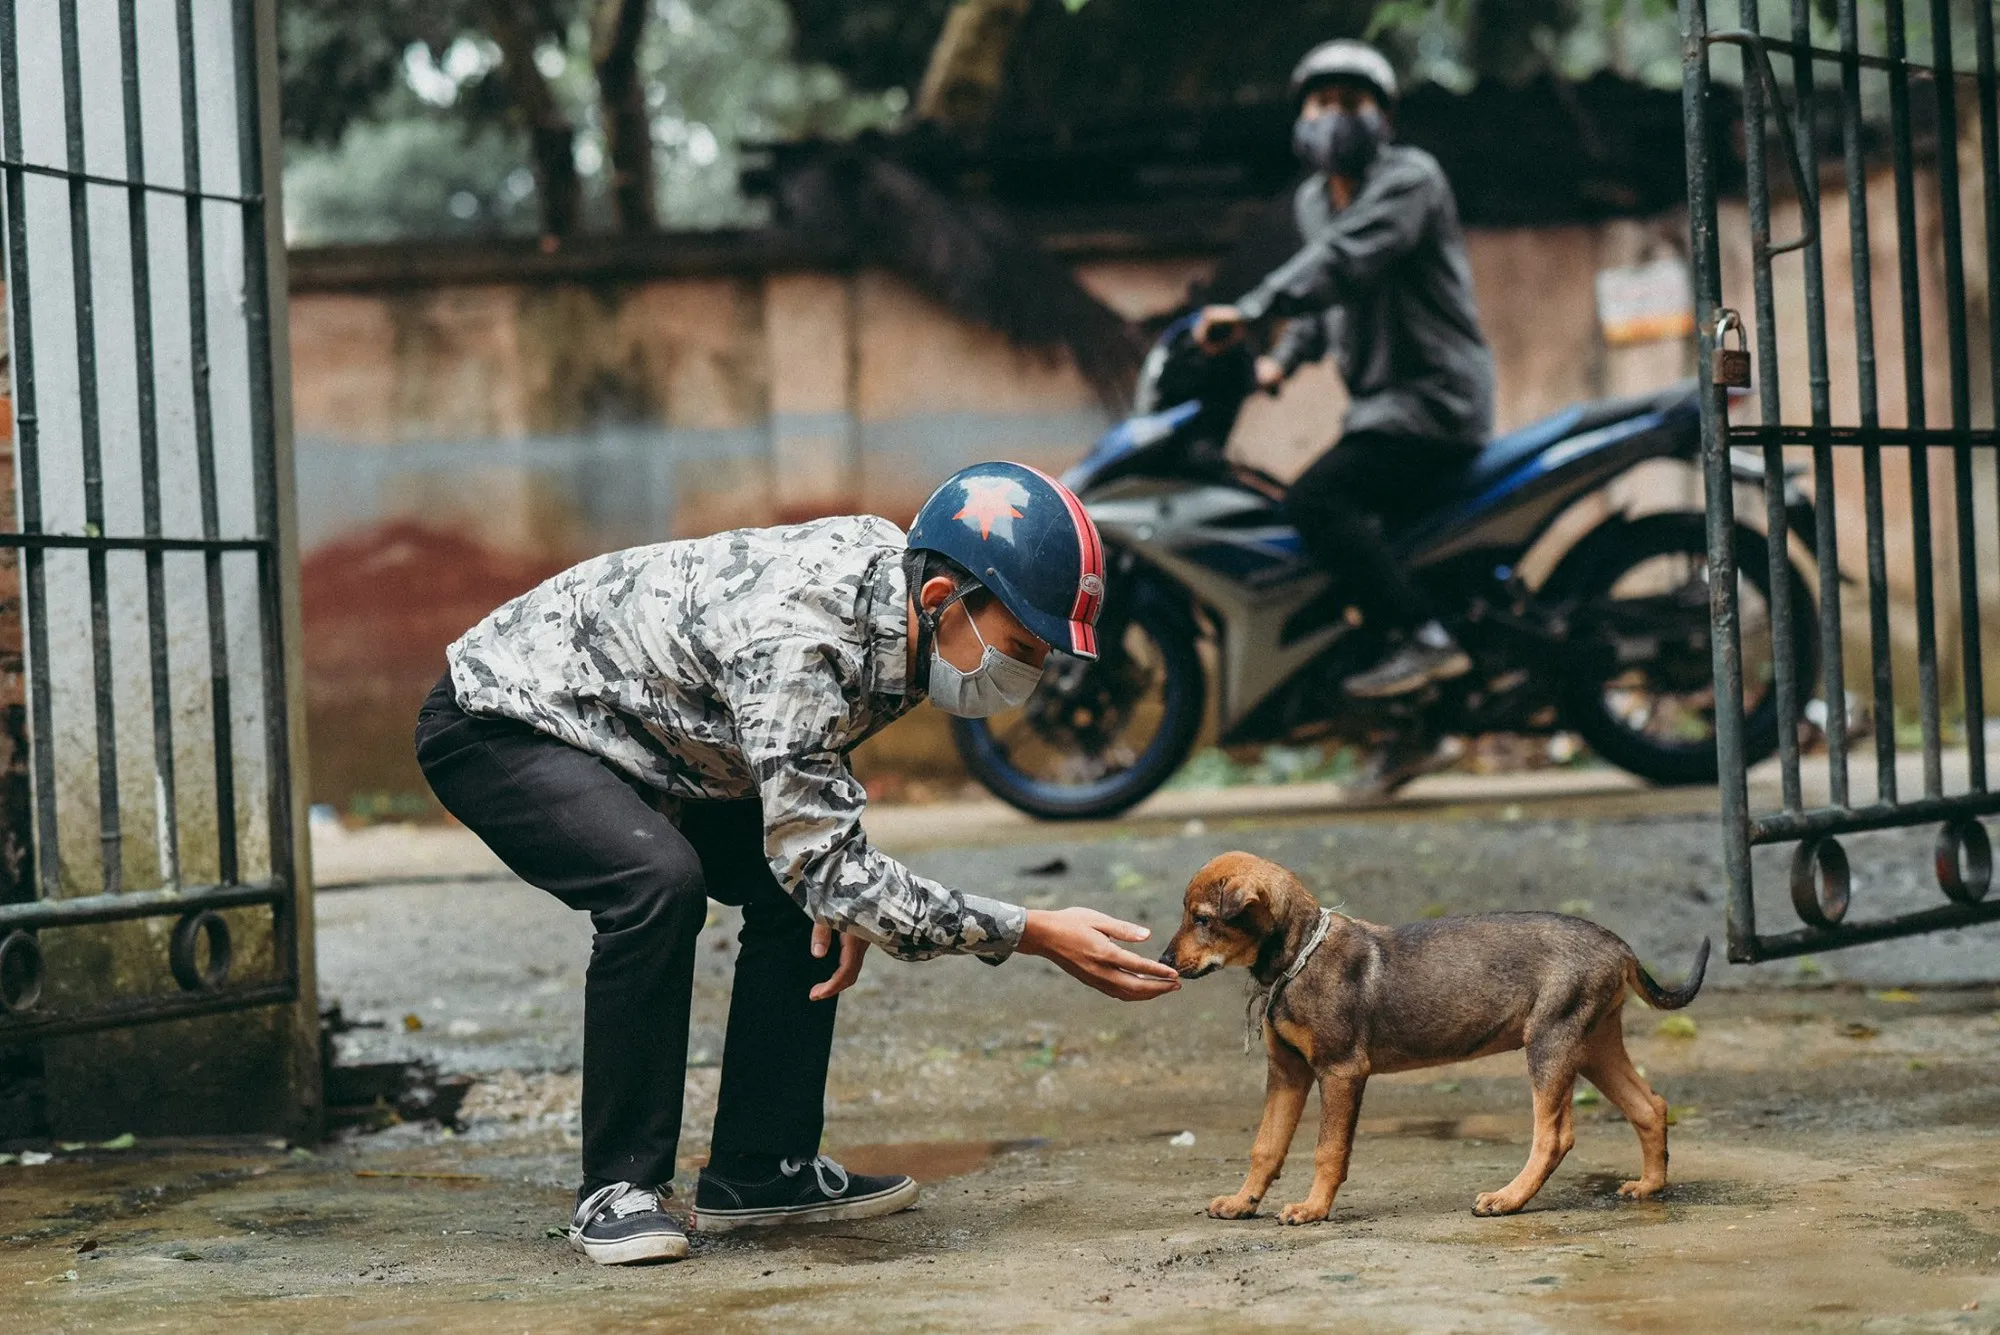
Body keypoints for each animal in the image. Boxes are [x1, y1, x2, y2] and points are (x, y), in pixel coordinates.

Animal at [1168, 855, 1712, 1223]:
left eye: (1202, 919)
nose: (1167, 961)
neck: (1301, 952)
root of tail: (1618, 946)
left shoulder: (1341, 1071)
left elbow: (1327, 1149)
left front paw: (1313, 1209)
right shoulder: (1287, 1072)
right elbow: (1266, 1146)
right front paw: (1242, 1203)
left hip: (1551, 1043)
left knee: (1555, 1135)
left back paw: (1507, 1199)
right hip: (1594, 1044)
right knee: (1650, 1106)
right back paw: (1649, 1186)